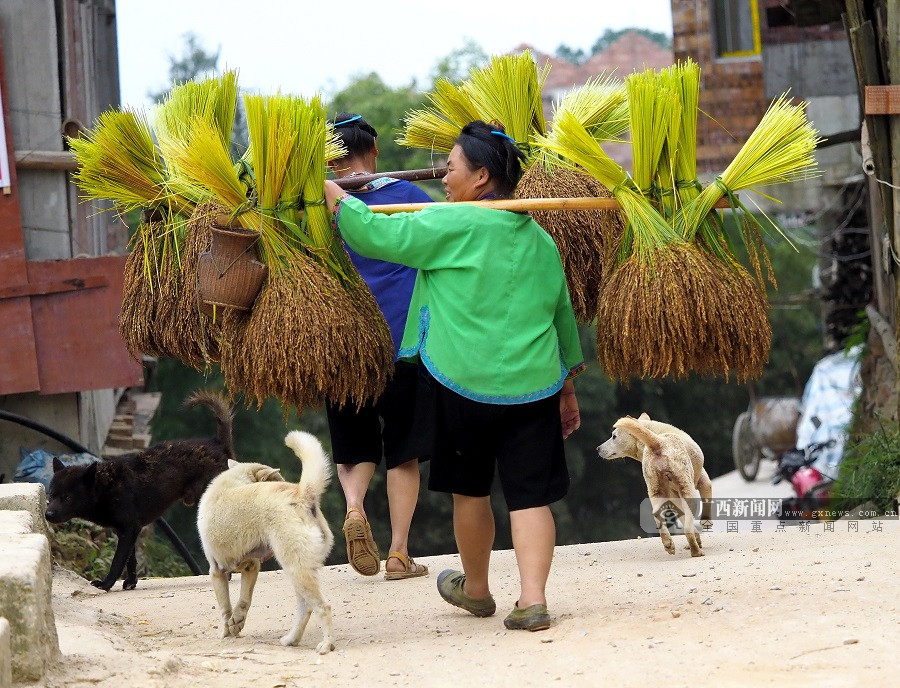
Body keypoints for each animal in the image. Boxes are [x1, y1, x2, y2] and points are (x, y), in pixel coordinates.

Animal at [45, 392, 236, 592]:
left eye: (67, 497)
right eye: (51, 495)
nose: (47, 514)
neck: (105, 487)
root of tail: (219, 443)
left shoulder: (128, 531)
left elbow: (117, 562)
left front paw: (105, 584)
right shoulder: (128, 531)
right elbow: (131, 561)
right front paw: (130, 583)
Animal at [199, 432, 336, 652]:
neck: (235, 481)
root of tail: (301, 494)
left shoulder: (217, 571)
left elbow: (225, 608)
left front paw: (227, 632)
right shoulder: (251, 567)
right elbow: (243, 601)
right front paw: (236, 623)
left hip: (296, 569)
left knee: (323, 607)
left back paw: (327, 644)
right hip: (299, 572)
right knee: (306, 608)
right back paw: (291, 640)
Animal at [600, 414, 712, 560]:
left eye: (614, 436)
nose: (597, 449)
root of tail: (659, 442)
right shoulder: (704, 482)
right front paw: (706, 523)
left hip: (655, 490)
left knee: (658, 515)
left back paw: (669, 544)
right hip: (687, 489)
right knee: (687, 526)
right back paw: (695, 551)